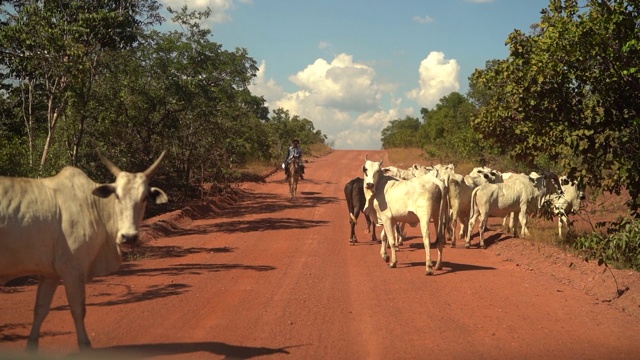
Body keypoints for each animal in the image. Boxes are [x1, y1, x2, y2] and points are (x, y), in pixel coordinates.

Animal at [0, 150, 168, 350]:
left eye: (144, 198)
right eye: (117, 196)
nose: (129, 237)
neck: (94, 206)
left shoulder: (50, 274)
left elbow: (40, 309)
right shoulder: (73, 269)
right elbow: (78, 309)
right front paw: (85, 345)